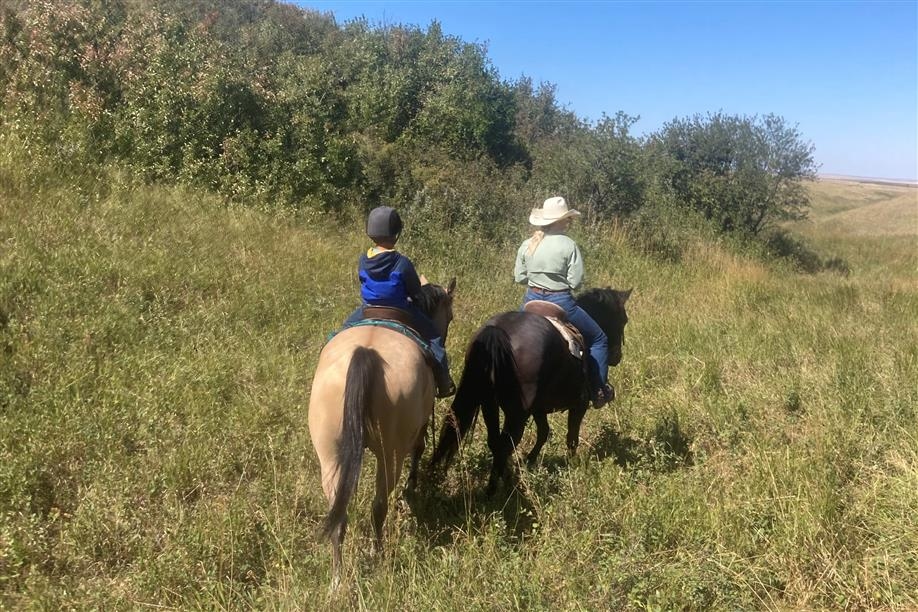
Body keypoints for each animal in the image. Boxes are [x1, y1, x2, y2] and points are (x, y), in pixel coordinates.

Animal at [308, 278, 456, 589]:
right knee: (379, 506)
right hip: (391, 454)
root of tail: (366, 355)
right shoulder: (418, 428)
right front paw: (412, 488)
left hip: (330, 456)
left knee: (339, 515)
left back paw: (336, 580)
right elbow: (419, 450)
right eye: (449, 316)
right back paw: (378, 555)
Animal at [431, 287, 631, 494]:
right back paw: (502, 488)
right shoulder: (579, 404)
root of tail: (497, 331)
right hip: (517, 414)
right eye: (623, 320)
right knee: (505, 444)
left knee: (495, 442)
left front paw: (530, 460)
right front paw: (573, 465)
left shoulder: (538, 408)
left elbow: (543, 432)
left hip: (490, 405)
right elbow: (572, 437)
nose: (616, 357)